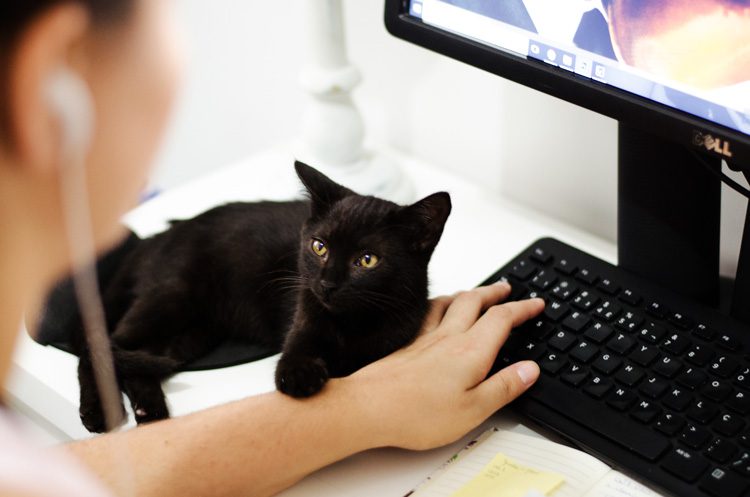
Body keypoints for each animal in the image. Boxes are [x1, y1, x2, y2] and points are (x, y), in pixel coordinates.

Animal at [72, 162, 452, 430]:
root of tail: (159, 236)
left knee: (135, 358)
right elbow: (293, 360)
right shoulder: (303, 318)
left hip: (191, 335)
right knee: (99, 345)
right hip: (172, 297)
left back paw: (149, 409)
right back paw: (97, 411)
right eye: (320, 247)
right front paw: (301, 376)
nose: (327, 283)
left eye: (367, 260)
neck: (352, 324)